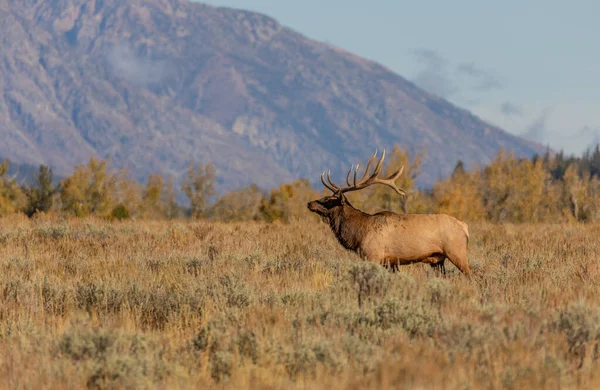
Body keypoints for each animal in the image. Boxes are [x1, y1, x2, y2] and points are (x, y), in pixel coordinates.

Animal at [310, 151, 474, 276]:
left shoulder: (373, 255)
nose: (309, 203)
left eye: (328, 199)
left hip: (456, 251)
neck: (358, 233)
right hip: (438, 260)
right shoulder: (391, 262)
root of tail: (464, 226)